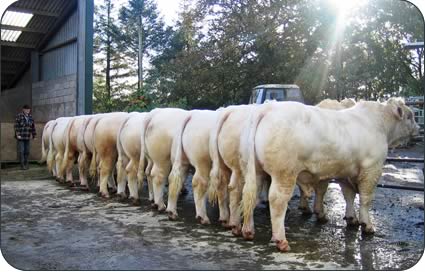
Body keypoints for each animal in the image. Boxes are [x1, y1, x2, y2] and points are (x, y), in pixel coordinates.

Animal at [240, 97, 420, 251]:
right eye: (410, 116)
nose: (418, 129)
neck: (379, 124)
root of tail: (268, 108)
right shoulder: (372, 170)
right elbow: (365, 199)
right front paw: (367, 225)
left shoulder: (345, 172)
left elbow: (348, 195)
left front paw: (351, 218)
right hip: (284, 174)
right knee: (277, 202)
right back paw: (281, 240)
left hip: (257, 172)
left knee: (252, 196)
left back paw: (248, 230)